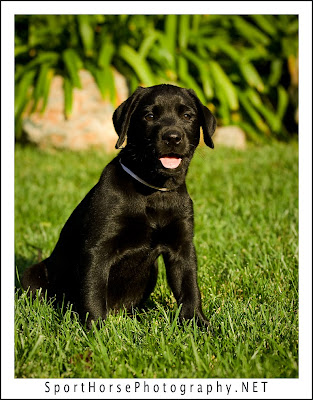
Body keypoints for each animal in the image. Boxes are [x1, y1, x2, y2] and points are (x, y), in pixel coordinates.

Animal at [21, 84, 214, 328]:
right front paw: (96, 330)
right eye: (149, 116)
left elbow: (189, 288)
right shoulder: (97, 249)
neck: (153, 191)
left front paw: (198, 323)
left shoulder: (182, 247)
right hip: (32, 275)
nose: (172, 137)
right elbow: (93, 291)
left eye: (187, 116)